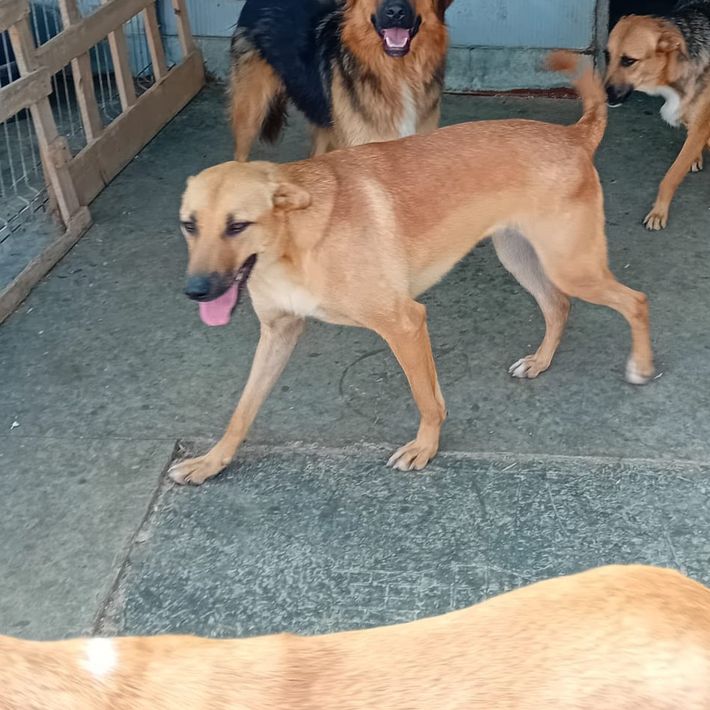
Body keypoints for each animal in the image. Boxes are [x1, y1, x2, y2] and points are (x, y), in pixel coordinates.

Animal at [169, 51, 654, 487]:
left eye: (238, 226)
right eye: (189, 225)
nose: (196, 291)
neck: (295, 242)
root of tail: (573, 136)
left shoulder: (404, 323)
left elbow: (426, 399)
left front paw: (425, 447)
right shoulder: (278, 332)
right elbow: (242, 409)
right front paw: (212, 462)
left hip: (571, 265)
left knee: (635, 300)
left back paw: (642, 366)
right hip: (520, 256)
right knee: (559, 306)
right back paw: (540, 361)